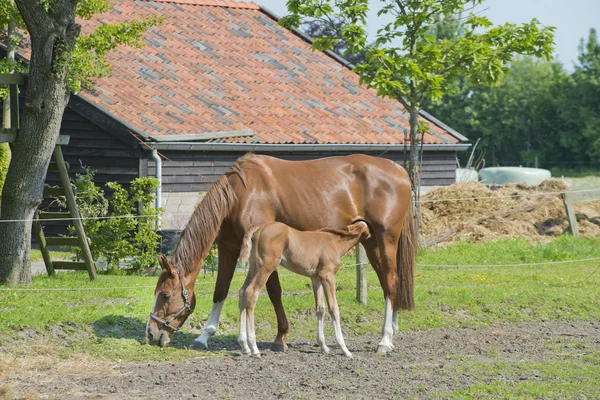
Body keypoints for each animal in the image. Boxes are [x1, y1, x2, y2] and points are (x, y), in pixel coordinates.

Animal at [239, 220, 370, 358]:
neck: (335, 242)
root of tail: (259, 227)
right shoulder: (328, 276)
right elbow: (334, 309)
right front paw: (345, 349)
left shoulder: (315, 278)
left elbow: (320, 308)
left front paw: (323, 346)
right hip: (266, 267)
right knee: (251, 292)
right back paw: (254, 348)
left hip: (254, 267)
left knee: (242, 292)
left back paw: (244, 346)